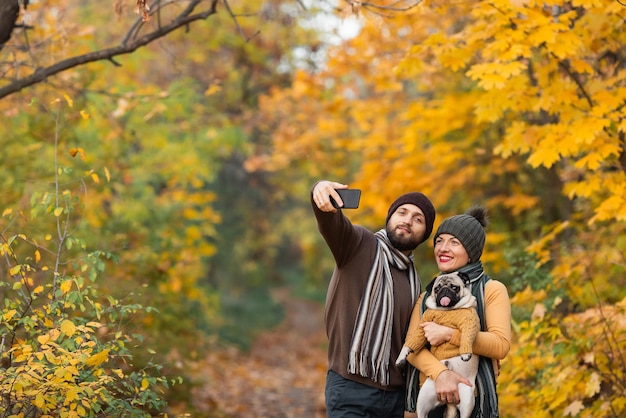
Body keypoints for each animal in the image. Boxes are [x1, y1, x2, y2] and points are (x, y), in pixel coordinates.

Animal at [394, 272, 478, 418]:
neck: (447, 310)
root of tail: (450, 401)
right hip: (423, 398)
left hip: (467, 400)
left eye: (454, 287)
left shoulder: (469, 322)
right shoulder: (422, 327)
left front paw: (465, 353)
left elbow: (466, 338)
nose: (444, 290)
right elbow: (410, 343)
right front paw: (401, 358)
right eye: (437, 289)